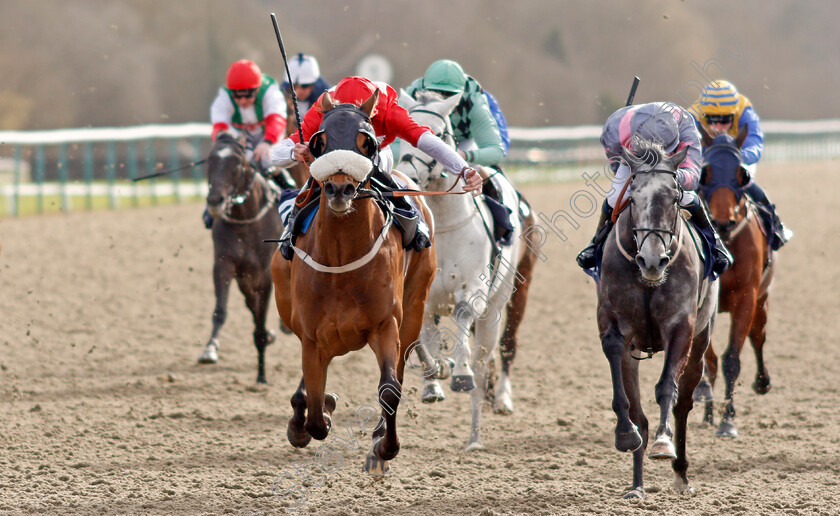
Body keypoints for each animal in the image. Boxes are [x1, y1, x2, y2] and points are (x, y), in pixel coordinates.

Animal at [197, 131, 282, 384]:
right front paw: (210, 349)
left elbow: (260, 322)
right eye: (210, 161)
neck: (247, 220)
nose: (215, 201)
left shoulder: (265, 276)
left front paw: (261, 375)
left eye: (236, 163)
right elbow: (220, 311)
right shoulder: (224, 265)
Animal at [270, 89, 440, 476]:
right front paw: (315, 414)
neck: (341, 259)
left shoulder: (384, 324)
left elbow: (390, 389)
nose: (339, 189)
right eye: (319, 142)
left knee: (399, 369)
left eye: (367, 142)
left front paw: (384, 447)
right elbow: (316, 413)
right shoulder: (311, 333)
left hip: (414, 308)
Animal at [396, 90, 540, 450]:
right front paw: (434, 380)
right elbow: (423, 336)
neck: (446, 225)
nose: (407, 175)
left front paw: (458, 371)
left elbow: (462, 315)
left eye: (437, 134)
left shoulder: (473, 287)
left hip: (506, 300)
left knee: (491, 358)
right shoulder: (423, 294)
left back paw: (479, 430)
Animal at [692, 128, 776, 436]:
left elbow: (731, 359)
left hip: (762, 300)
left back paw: (762, 382)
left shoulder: (746, 296)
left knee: (758, 337)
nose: (723, 222)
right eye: (705, 173)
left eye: (742, 174)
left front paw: (728, 420)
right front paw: (707, 407)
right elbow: (709, 361)